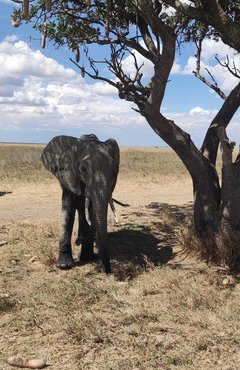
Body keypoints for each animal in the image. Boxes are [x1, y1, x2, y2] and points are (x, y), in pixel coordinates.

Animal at [41, 134, 120, 274]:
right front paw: (64, 266)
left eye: (114, 171)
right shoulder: (68, 176)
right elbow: (68, 211)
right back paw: (79, 241)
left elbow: (92, 212)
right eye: (83, 170)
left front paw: (87, 258)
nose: (109, 271)